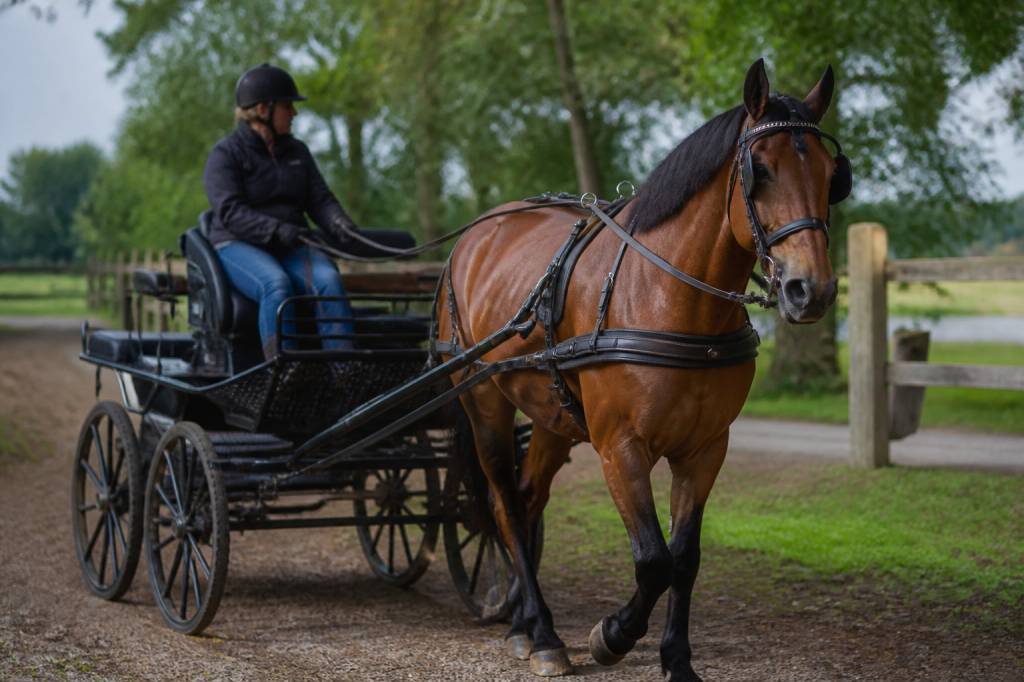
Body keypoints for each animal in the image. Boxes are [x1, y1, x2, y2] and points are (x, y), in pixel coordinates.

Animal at [436, 58, 844, 680]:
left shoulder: (705, 449)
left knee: (528, 502)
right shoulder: (619, 446)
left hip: (554, 417)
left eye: (830, 174)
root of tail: (476, 234)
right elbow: (652, 560)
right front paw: (612, 635)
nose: (811, 290)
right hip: (485, 405)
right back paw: (544, 632)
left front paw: (677, 660)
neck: (668, 297)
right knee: (503, 506)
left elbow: (685, 558)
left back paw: (526, 625)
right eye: (763, 170)